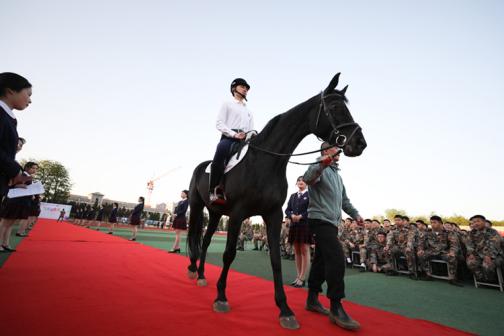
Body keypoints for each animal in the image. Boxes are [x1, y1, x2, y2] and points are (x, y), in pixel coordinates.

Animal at [185, 73, 366, 328]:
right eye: (335, 106)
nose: (360, 143)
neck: (265, 163)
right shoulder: (238, 214)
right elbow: (229, 253)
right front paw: (221, 297)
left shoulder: (273, 215)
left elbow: (275, 260)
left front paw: (285, 309)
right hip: (197, 206)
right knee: (195, 234)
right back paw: (193, 270)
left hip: (216, 213)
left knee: (207, 239)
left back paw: (201, 275)